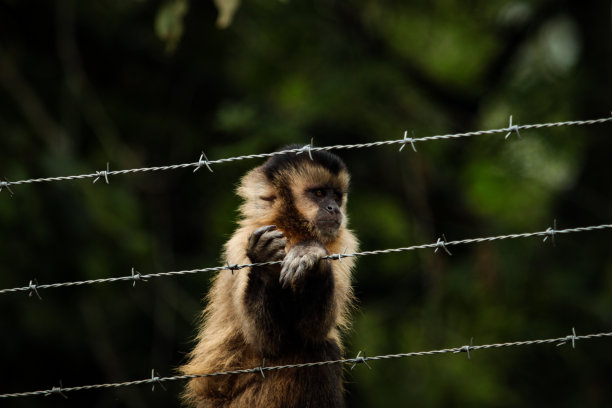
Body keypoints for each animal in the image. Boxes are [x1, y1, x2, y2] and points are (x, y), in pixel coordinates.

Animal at [179, 147, 356, 408]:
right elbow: (267, 341)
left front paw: (311, 255)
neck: (294, 230)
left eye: (336, 196)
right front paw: (264, 259)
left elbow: (314, 330)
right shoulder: (242, 242)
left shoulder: (342, 244)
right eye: (319, 194)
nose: (335, 208)